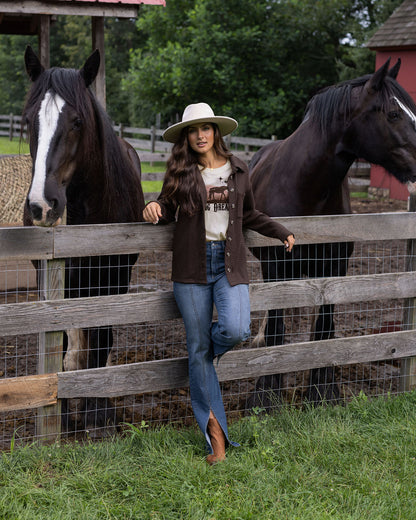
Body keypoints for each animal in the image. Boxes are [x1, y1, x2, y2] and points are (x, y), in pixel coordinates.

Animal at [23, 45, 146, 434]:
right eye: (28, 120)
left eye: (77, 122)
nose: (41, 205)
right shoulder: (53, 280)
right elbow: (62, 340)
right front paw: (63, 414)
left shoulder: (113, 279)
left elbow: (102, 339)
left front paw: (98, 413)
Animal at [249, 59, 416, 408]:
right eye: (394, 114)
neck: (304, 188)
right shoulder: (275, 266)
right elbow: (275, 326)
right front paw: (265, 395)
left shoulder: (334, 267)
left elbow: (324, 327)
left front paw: (322, 392)